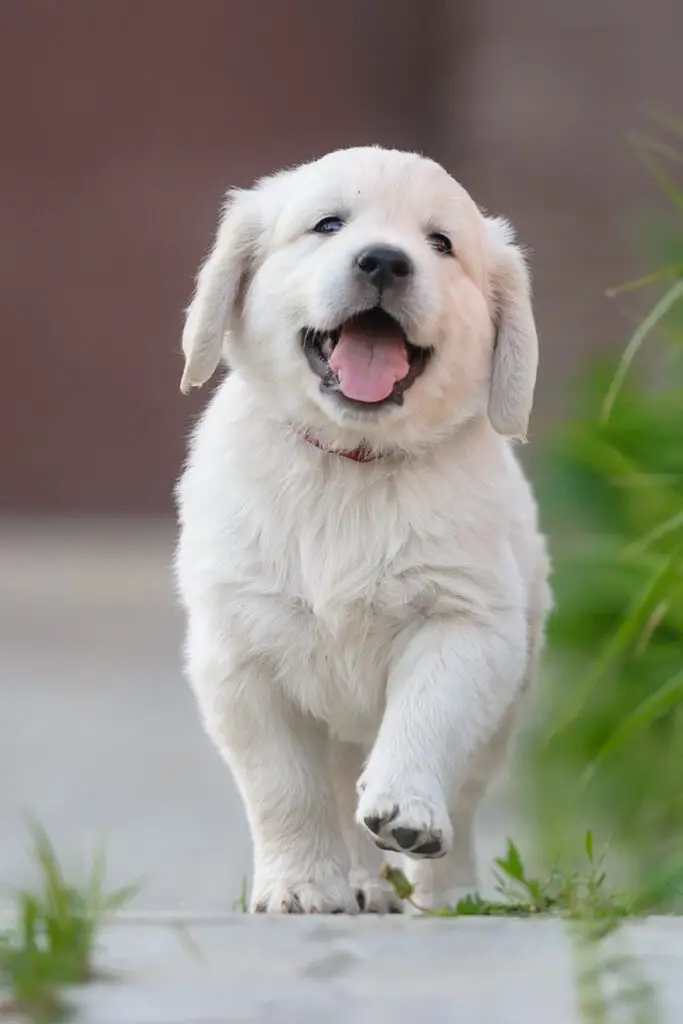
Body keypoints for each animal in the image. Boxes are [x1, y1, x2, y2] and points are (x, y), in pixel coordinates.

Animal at [175, 144, 548, 913]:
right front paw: (299, 884)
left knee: (460, 799)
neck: (350, 463)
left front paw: (407, 810)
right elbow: (284, 786)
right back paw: (355, 883)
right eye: (328, 225)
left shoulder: (465, 623)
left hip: (505, 701)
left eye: (440, 243)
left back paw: (447, 893)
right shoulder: (238, 653)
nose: (383, 261)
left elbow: (426, 717)